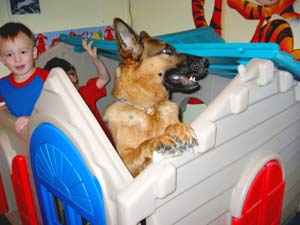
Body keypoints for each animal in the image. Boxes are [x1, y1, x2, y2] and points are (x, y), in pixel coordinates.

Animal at [105, 18, 209, 178]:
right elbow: (143, 144)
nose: (206, 61)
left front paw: (180, 128)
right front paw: (160, 140)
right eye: (166, 51)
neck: (149, 109)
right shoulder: (126, 163)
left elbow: (173, 125)